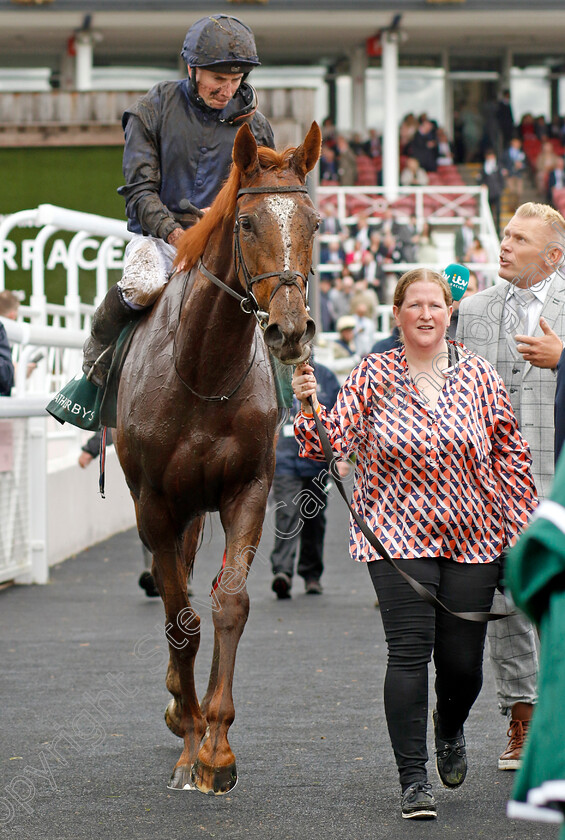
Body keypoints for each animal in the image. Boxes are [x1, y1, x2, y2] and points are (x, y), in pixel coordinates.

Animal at [114, 120, 322, 796]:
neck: (203, 371)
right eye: (249, 222)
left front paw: (216, 749)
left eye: (313, 220)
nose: (289, 329)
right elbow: (179, 615)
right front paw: (188, 735)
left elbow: (228, 603)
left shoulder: (246, 489)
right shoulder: (154, 504)